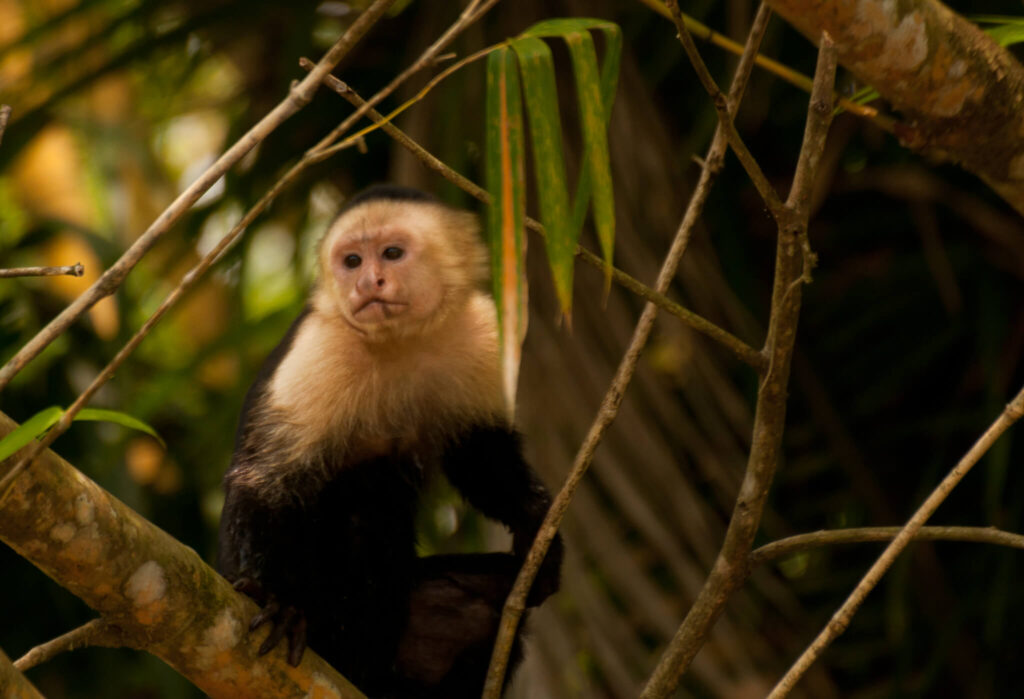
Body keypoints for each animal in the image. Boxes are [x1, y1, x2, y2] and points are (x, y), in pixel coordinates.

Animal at [217, 185, 562, 697]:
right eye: (352, 261)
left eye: (392, 254)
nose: (368, 283)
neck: (402, 341)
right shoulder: (319, 350)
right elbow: (267, 481)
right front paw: (273, 598)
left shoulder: (480, 334)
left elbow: (480, 455)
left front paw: (535, 520)